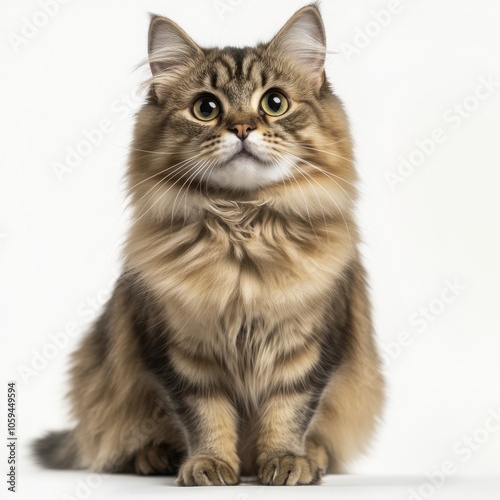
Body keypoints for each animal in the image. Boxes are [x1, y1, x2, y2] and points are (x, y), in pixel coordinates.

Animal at [33, 5, 384, 486]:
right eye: (206, 108)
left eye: (274, 103)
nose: (242, 127)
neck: (241, 230)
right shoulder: (183, 353)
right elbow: (205, 416)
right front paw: (210, 464)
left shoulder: (307, 349)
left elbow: (288, 412)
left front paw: (286, 461)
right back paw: (156, 457)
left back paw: (313, 457)